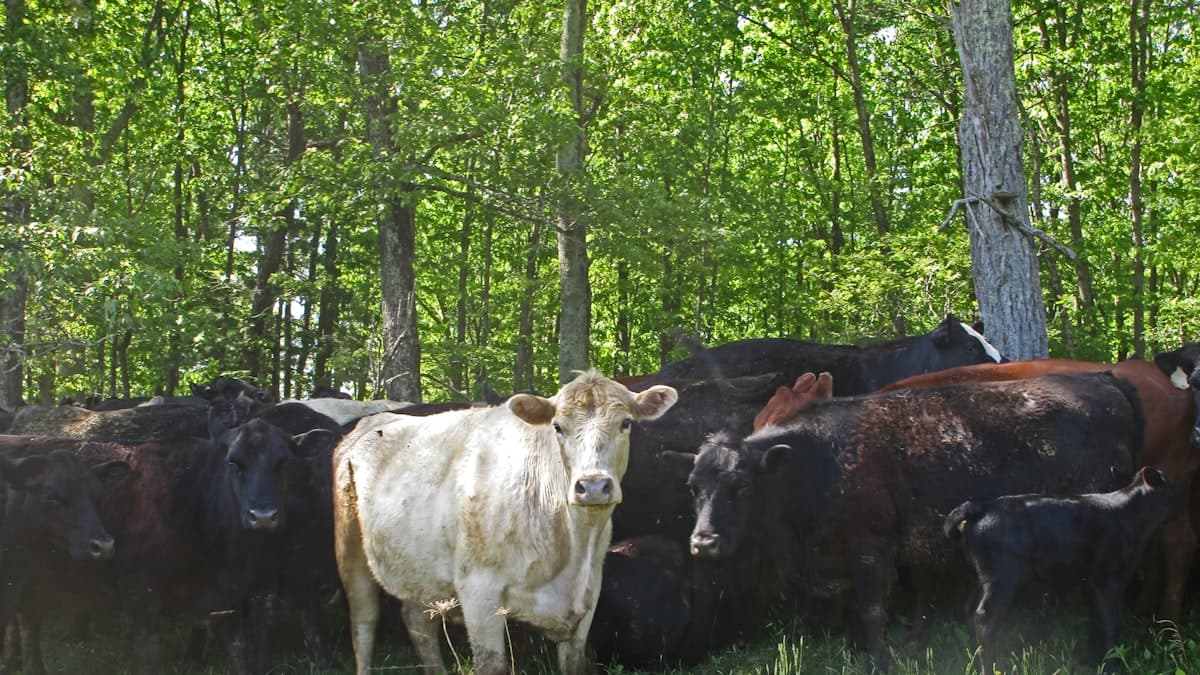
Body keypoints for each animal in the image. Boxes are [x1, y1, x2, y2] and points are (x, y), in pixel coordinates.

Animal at [333, 370, 678, 675]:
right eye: (558, 427)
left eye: (626, 423)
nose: (592, 486)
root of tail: (374, 421)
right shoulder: (478, 593)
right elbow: (494, 665)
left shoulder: (588, 599)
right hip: (349, 547)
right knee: (363, 624)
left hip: (418, 566)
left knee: (418, 623)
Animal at [677, 371, 1144, 670]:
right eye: (693, 487)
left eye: (740, 486)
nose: (703, 542)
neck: (817, 459)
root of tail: (1103, 379)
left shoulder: (872, 550)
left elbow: (872, 610)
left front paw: (881, 660)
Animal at [945, 466, 1175, 672]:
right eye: (1174, 490)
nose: (1180, 509)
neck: (1129, 517)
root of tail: (985, 505)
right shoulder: (1108, 579)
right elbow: (1111, 623)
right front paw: (1112, 665)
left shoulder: (1091, 582)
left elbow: (1096, 621)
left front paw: (1093, 662)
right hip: (1002, 577)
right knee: (984, 617)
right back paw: (990, 666)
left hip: (983, 577)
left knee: (969, 609)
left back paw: (974, 661)